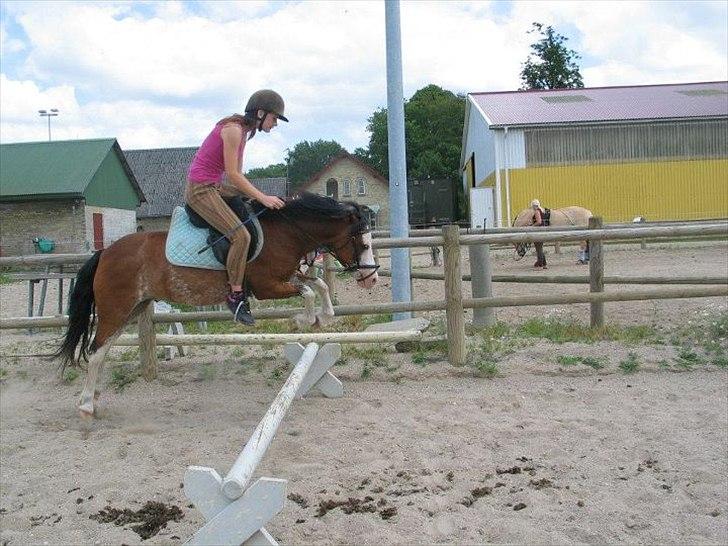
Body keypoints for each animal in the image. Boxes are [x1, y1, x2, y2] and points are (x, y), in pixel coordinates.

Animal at [54, 192, 379, 417]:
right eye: (362, 243)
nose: (371, 279)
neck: (286, 233)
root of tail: (105, 253)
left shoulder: (286, 277)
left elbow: (319, 285)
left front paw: (325, 316)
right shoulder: (267, 287)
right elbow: (308, 292)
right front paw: (306, 320)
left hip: (131, 309)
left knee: (104, 349)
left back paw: (95, 396)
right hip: (116, 308)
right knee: (96, 350)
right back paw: (86, 404)